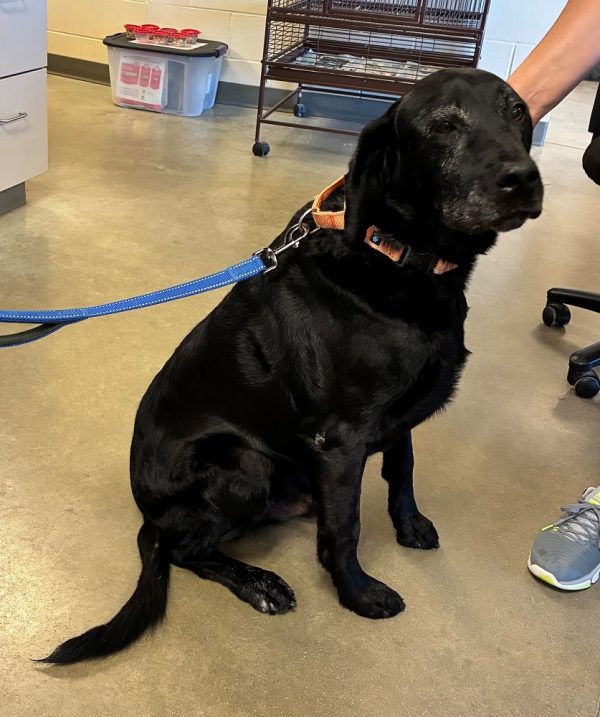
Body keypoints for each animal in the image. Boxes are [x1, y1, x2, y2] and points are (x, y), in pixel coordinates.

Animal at [42, 68, 543, 663]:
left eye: (517, 111)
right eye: (444, 125)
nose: (524, 177)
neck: (396, 255)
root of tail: (150, 518)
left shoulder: (396, 417)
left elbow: (402, 470)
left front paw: (410, 525)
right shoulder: (340, 440)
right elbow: (345, 528)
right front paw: (358, 594)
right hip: (245, 463)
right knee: (188, 551)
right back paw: (259, 583)